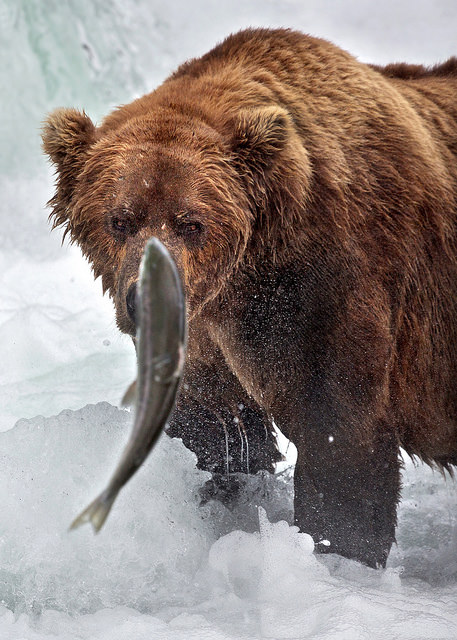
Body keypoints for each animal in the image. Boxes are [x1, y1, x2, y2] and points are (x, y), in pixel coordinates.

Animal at [42, 28, 457, 568]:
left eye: (191, 222)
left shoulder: (325, 291)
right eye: (120, 219)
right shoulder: (205, 336)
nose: (144, 299)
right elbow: (214, 426)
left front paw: (334, 549)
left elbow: (342, 436)